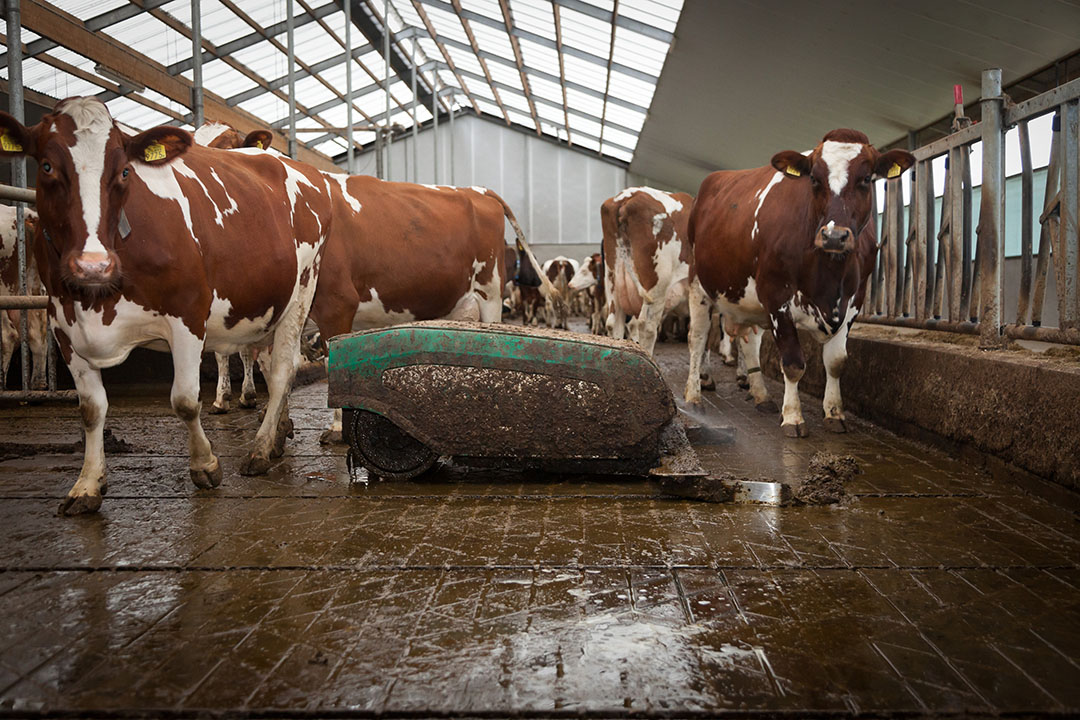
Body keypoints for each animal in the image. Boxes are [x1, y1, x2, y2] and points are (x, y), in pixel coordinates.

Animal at [0, 98, 332, 515]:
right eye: (46, 166)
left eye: (124, 170)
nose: (92, 265)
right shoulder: (64, 325)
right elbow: (91, 409)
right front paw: (87, 484)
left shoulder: (188, 314)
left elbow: (185, 400)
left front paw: (205, 464)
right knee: (271, 367)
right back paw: (275, 436)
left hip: (301, 290)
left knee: (283, 369)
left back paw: (259, 448)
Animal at [682, 127, 911, 440]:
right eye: (813, 178)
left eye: (866, 178)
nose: (834, 236)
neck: (830, 275)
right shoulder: (777, 296)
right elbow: (792, 363)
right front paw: (792, 417)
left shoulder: (855, 300)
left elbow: (836, 362)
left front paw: (834, 413)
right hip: (699, 284)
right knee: (697, 338)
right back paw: (693, 397)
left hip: (748, 298)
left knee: (749, 342)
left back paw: (762, 396)